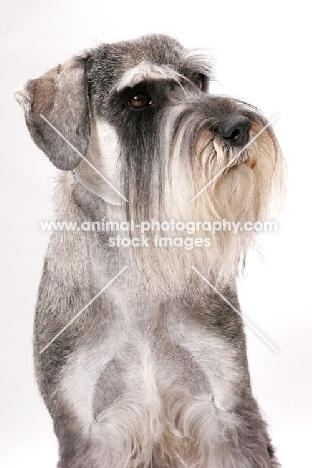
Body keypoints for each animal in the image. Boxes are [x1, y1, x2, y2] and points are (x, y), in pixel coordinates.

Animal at [15, 34, 286, 466]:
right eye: (139, 98)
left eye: (198, 79)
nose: (239, 127)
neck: (141, 270)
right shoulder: (89, 431)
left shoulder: (227, 410)